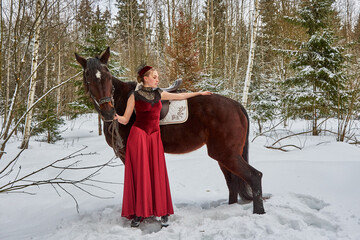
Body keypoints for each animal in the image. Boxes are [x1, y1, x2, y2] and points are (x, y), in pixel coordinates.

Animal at [74, 47, 264, 214]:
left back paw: (259, 211)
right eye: (88, 79)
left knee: (254, 176)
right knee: (232, 183)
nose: (108, 112)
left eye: (107, 76)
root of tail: (236, 105)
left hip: (226, 154)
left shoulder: (127, 153)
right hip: (224, 155)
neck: (122, 103)